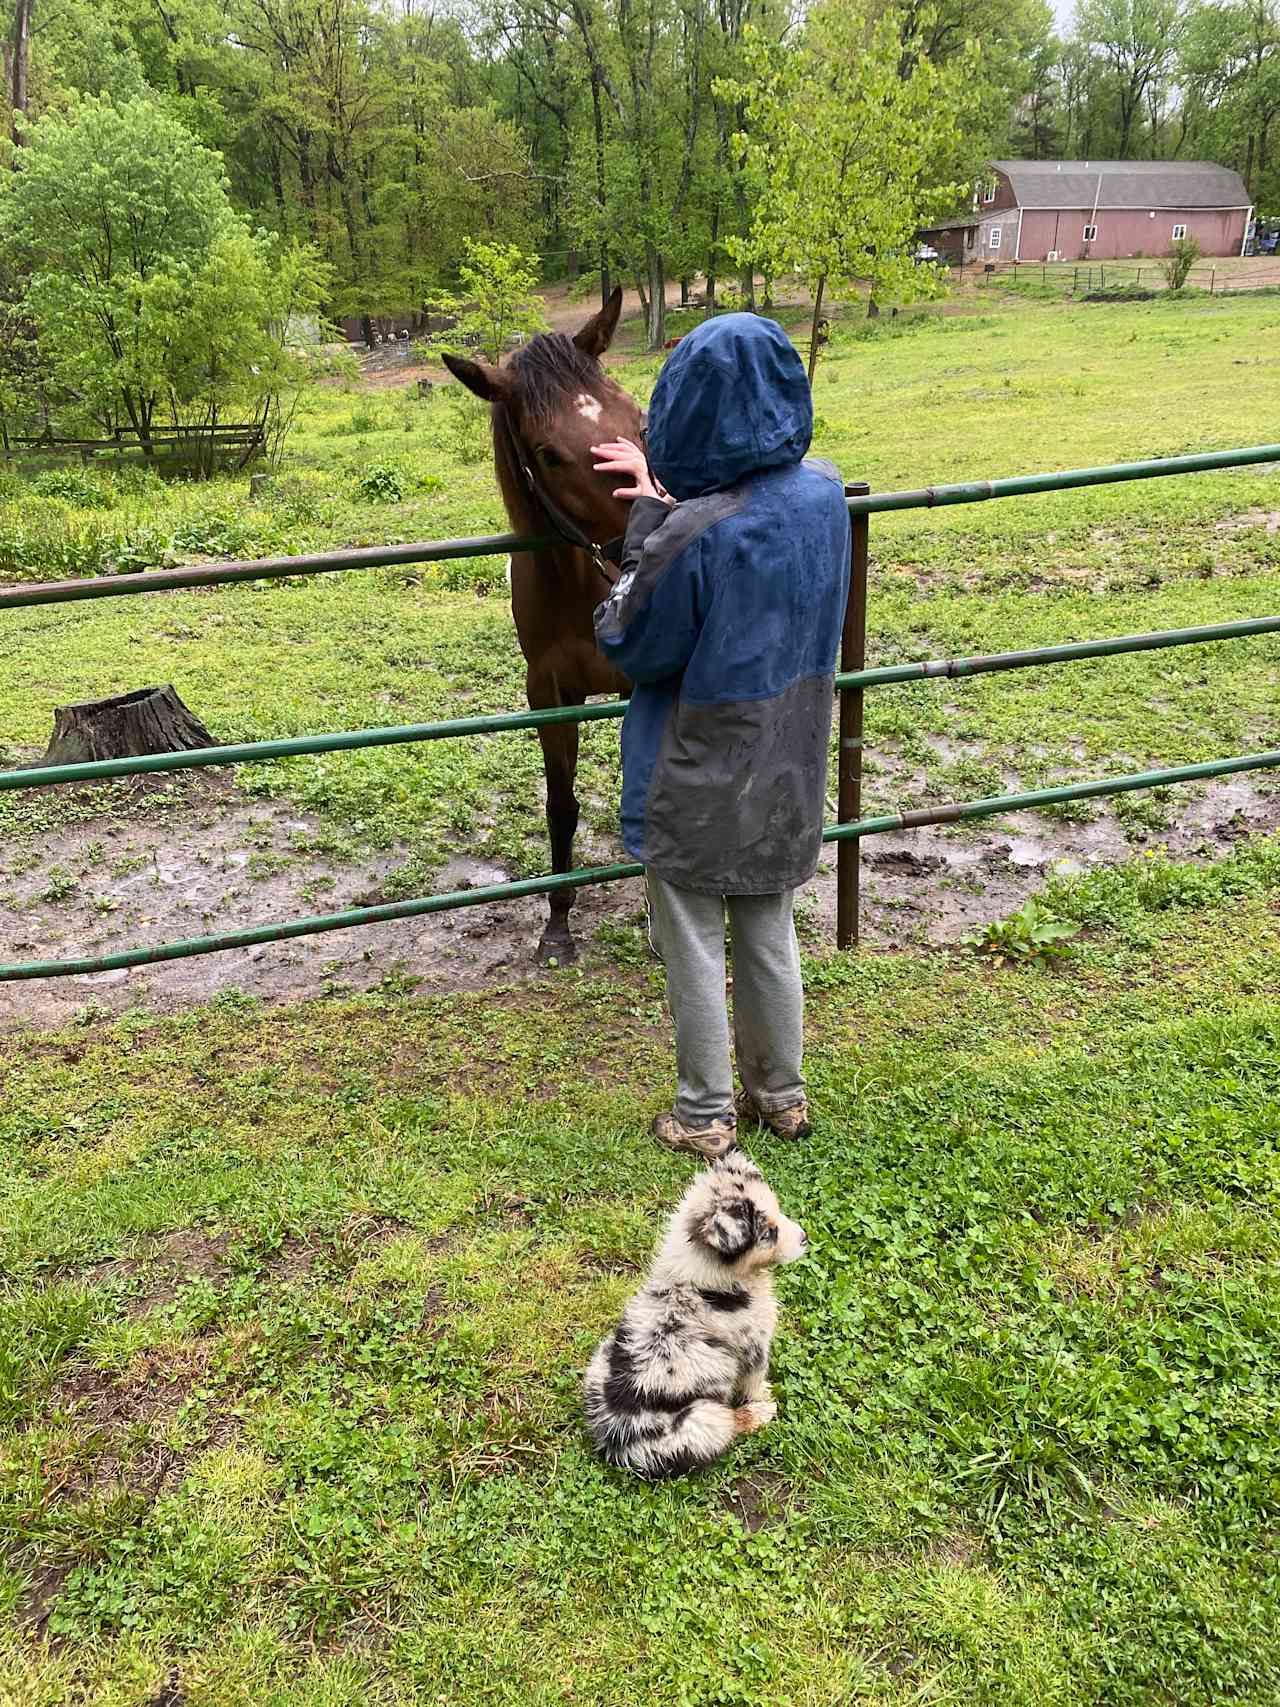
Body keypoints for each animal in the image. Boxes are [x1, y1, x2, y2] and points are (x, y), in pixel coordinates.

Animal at [587, 1147, 805, 1481]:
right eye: (769, 1233)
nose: (805, 1238)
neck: (703, 1279)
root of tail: (617, 1442)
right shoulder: (755, 1346)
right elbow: (754, 1380)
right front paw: (761, 1398)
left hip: (601, 1358)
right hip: (705, 1416)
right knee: (729, 1425)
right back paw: (757, 1414)